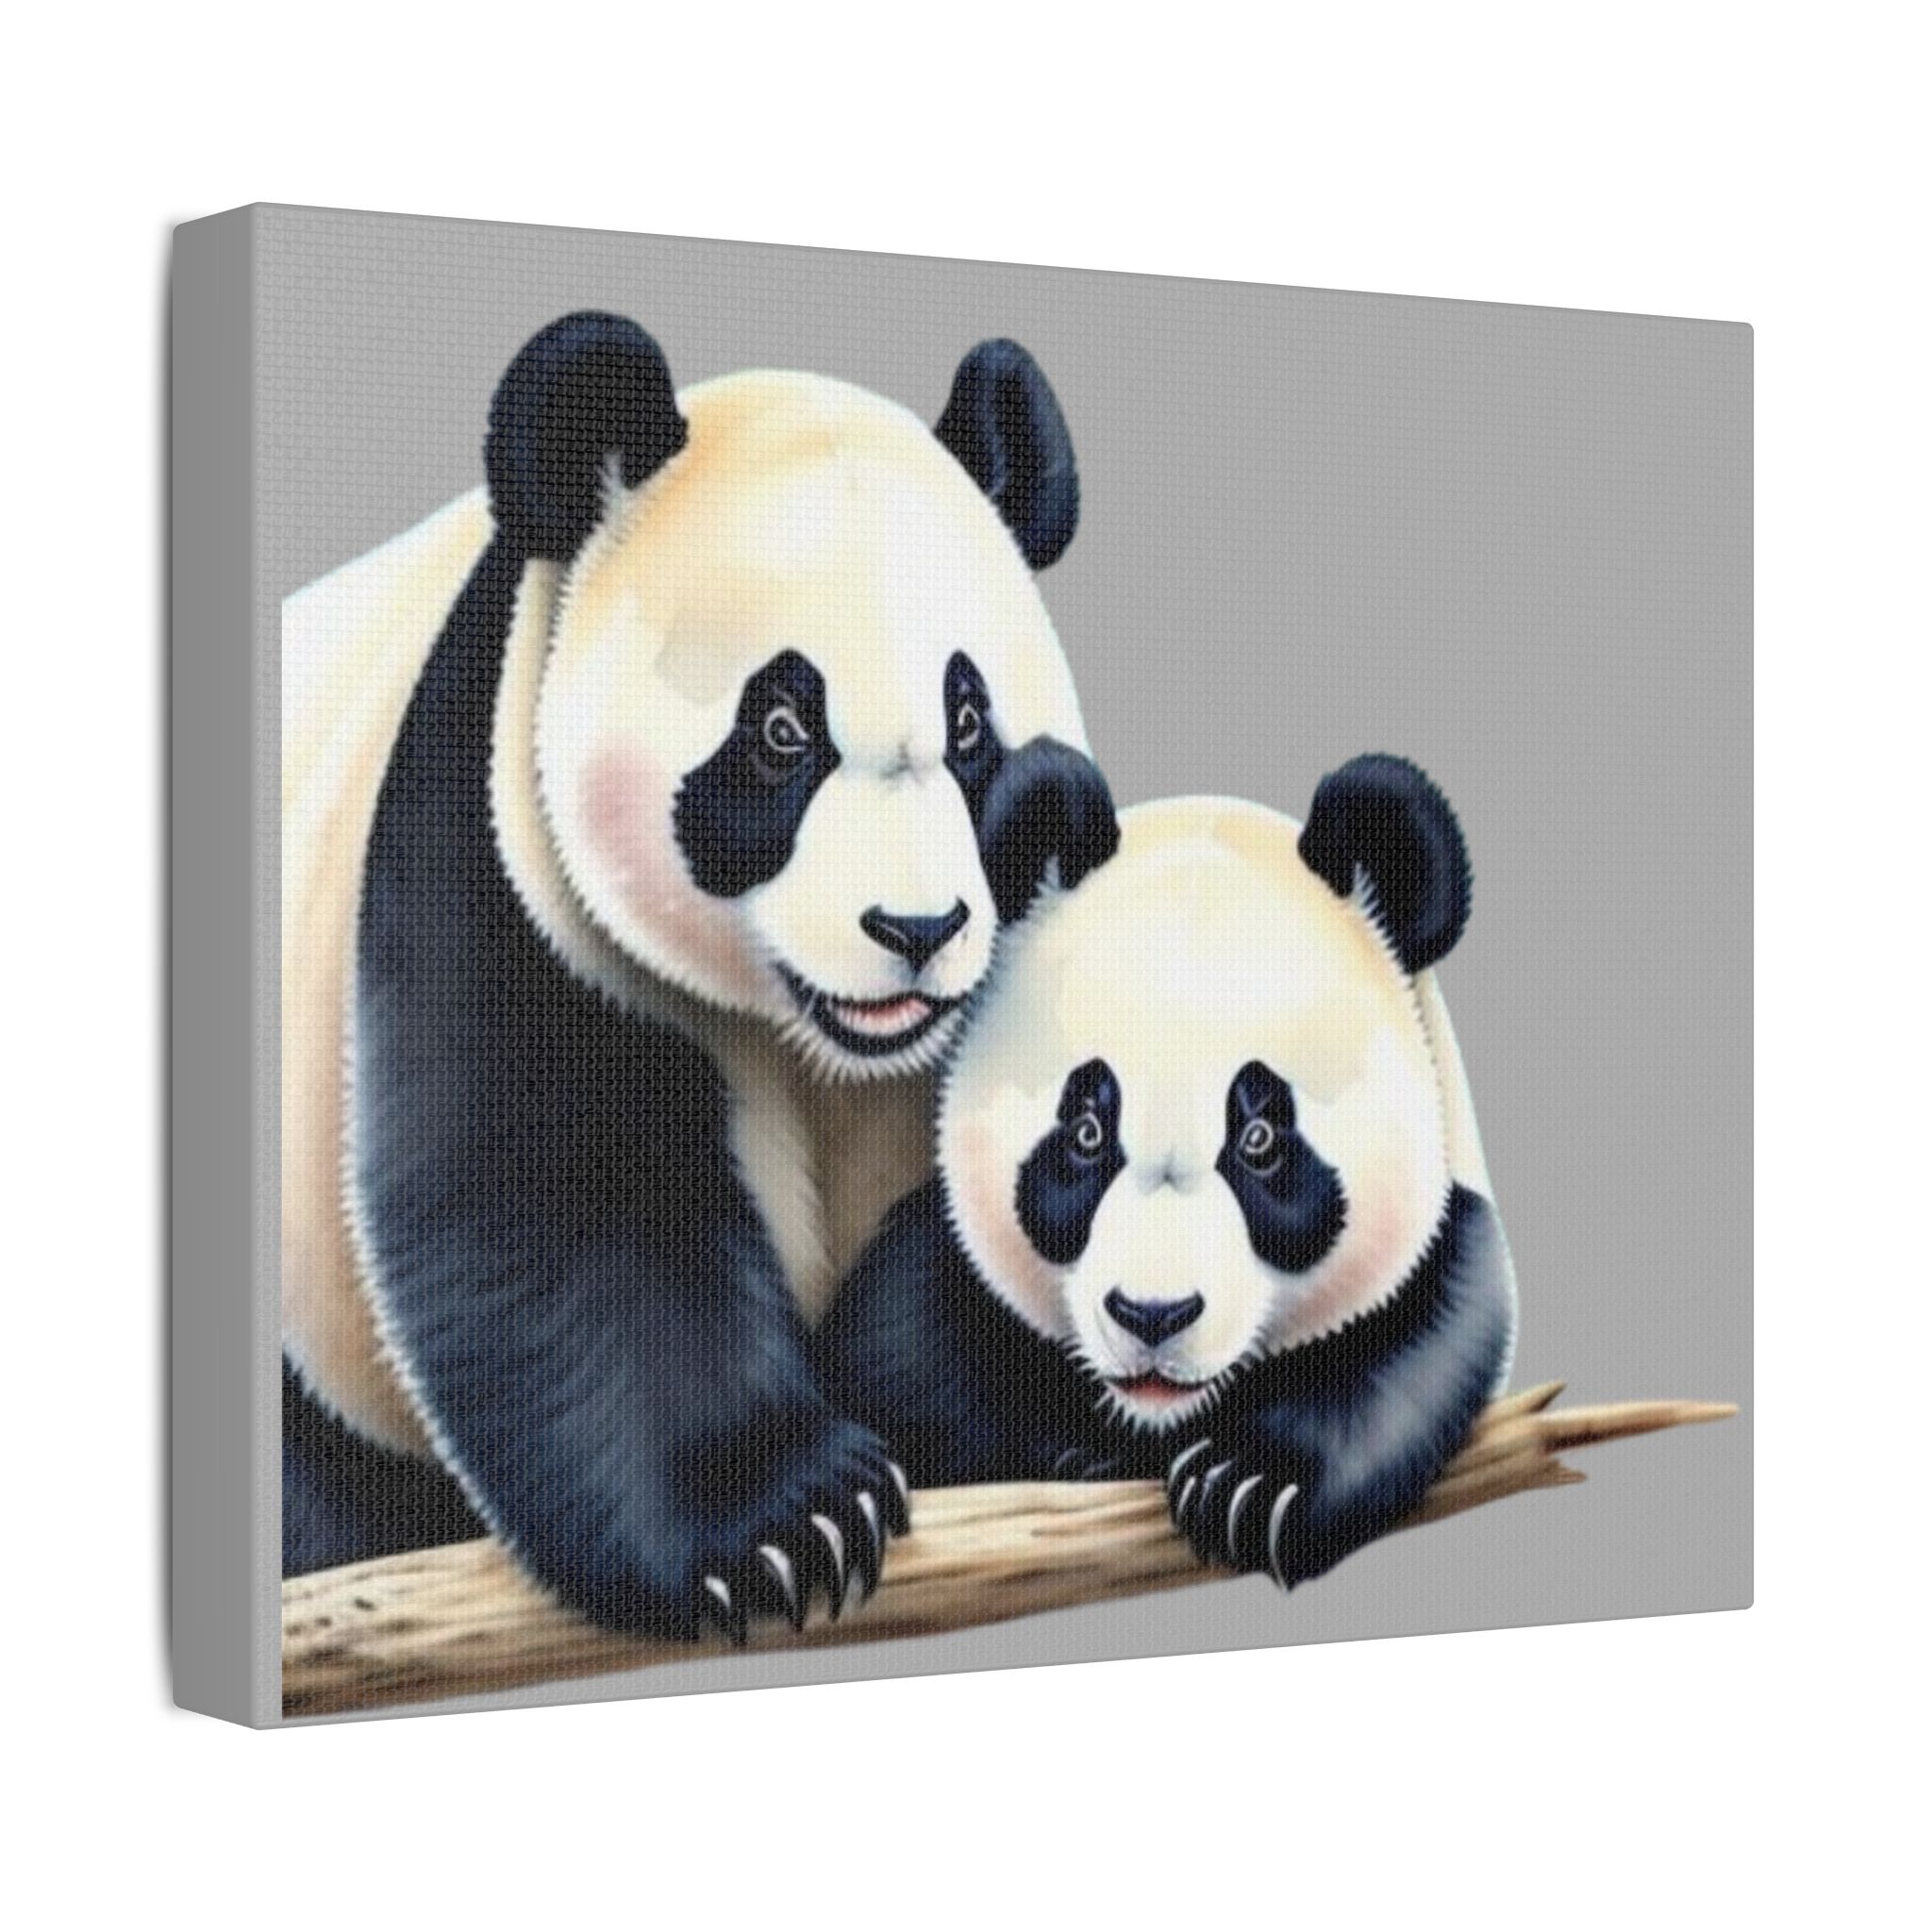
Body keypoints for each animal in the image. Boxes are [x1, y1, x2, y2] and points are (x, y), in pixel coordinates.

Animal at [280, 313, 1120, 1639]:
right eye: (779, 731)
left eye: (968, 724)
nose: (916, 926)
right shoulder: (499, 852)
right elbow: (564, 1210)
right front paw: (790, 1522)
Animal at [816, 759, 1517, 1590]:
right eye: (1086, 1133)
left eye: (1259, 1139)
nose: (1153, 1316)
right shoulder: (932, 1286)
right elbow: (900, 1358)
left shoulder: (1442, 1249)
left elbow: (1417, 1356)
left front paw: (1250, 1486)